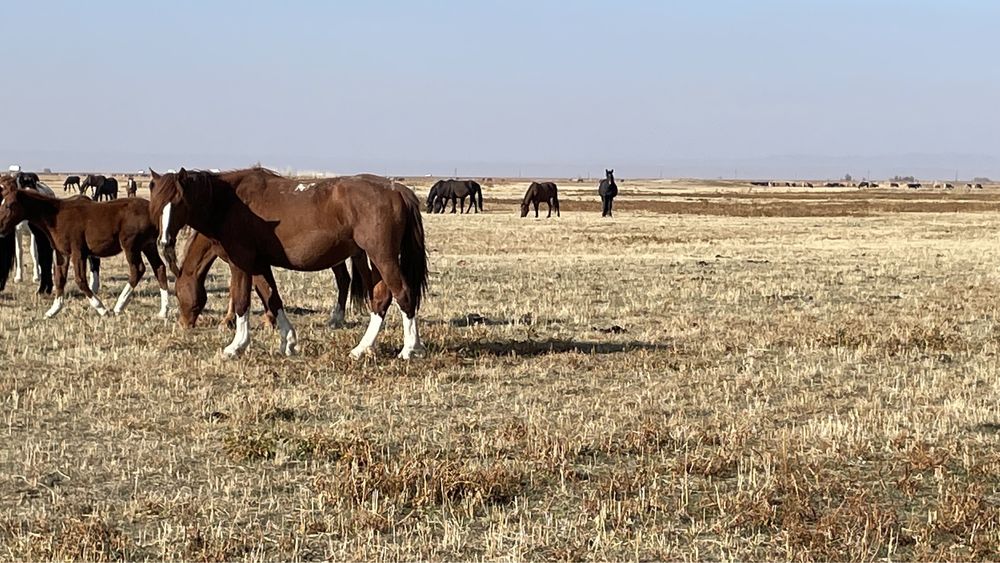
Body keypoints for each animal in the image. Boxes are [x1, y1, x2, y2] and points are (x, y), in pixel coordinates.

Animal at [0, 176, 170, 318]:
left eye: (9, 205)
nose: (0, 229)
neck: (56, 217)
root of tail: (152, 209)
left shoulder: (78, 252)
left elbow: (80, 280)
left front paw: (101, 308)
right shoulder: (63, 254)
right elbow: (59, 279)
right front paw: (53, 310)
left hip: (131, 246)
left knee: (138, 269)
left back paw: (118, 306)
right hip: (148, 245)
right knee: (160, 268)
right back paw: (163, 311)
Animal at [175, 220, 372, 328]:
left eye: (176, 293)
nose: (183, 323)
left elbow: (242, 289)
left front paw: (229, 321)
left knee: (359, 278)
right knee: (345, 280)